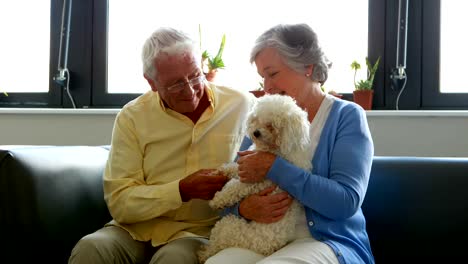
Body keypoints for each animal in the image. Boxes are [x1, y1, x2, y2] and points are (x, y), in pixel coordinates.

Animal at [198, 94, 314, 262]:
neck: (274, 149)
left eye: (271, 126)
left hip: (230, 227)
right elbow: (234, 167)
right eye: (257, 119)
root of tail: (267, 249)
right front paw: (221, 170)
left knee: (215, 244)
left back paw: (203, 252)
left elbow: (233, 188)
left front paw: (217, 201)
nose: (256, 132)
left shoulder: (254, 181)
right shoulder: (245, 164)